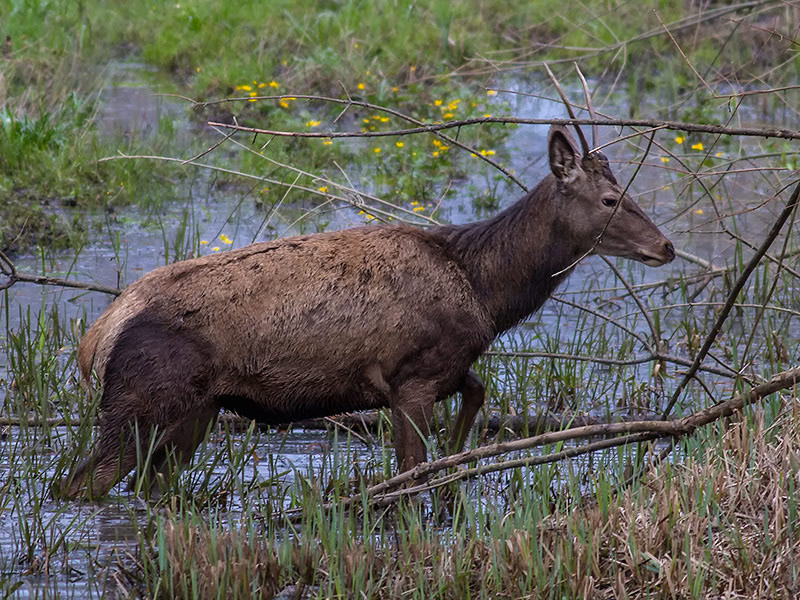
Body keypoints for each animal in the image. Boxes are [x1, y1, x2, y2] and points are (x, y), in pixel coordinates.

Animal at [53, 123, 672, 502]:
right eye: (611, 199)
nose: (665, 247)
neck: (484, 292)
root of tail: (96, 337)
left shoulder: (438, 368)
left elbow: (475, 391)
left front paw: (455, 471)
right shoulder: (412, 379)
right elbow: (407, 476)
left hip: (195, 411)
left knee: (146, 485)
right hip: (141, 398)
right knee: (82, 482)